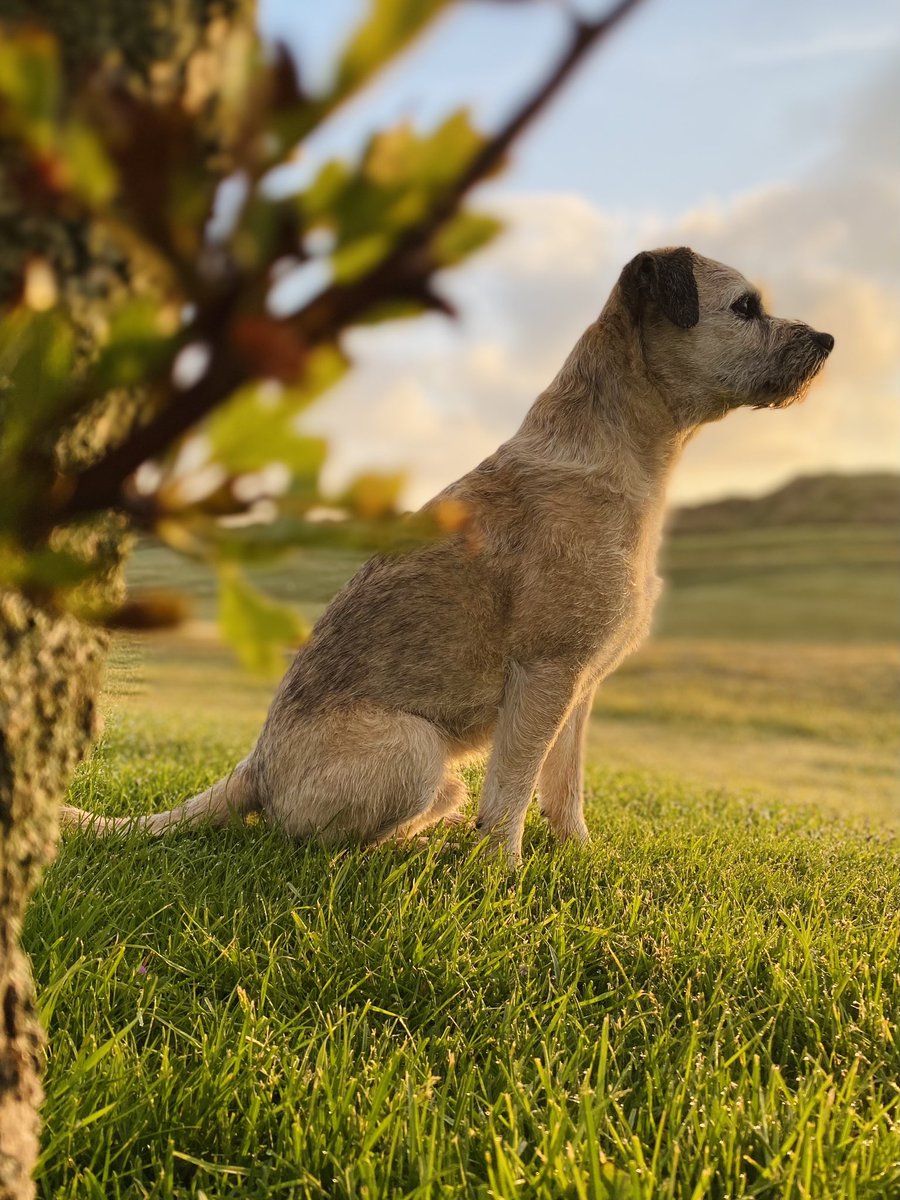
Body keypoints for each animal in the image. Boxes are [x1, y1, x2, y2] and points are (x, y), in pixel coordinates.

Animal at [61, 248, 840, 864]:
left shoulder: (580, 688)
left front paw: (579, 857)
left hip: (439, 771)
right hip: (414, 750)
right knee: (315, 839)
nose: (829, 339)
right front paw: (503, 875)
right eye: (745, 307)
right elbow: (514, 790)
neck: (620, 455)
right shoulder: (546, 673)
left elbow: (564, 787)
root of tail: (255, 765)